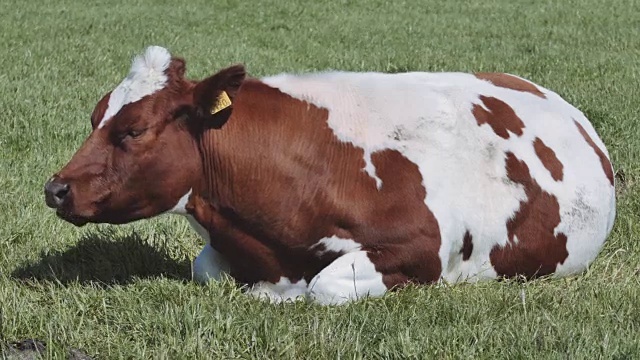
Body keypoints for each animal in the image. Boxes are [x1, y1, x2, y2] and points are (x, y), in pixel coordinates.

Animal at [42, 45, 616, 304]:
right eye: (95, 116)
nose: (56, 188)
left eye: (134, 129)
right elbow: (204, 268)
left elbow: (324, 285)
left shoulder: (422, 247)